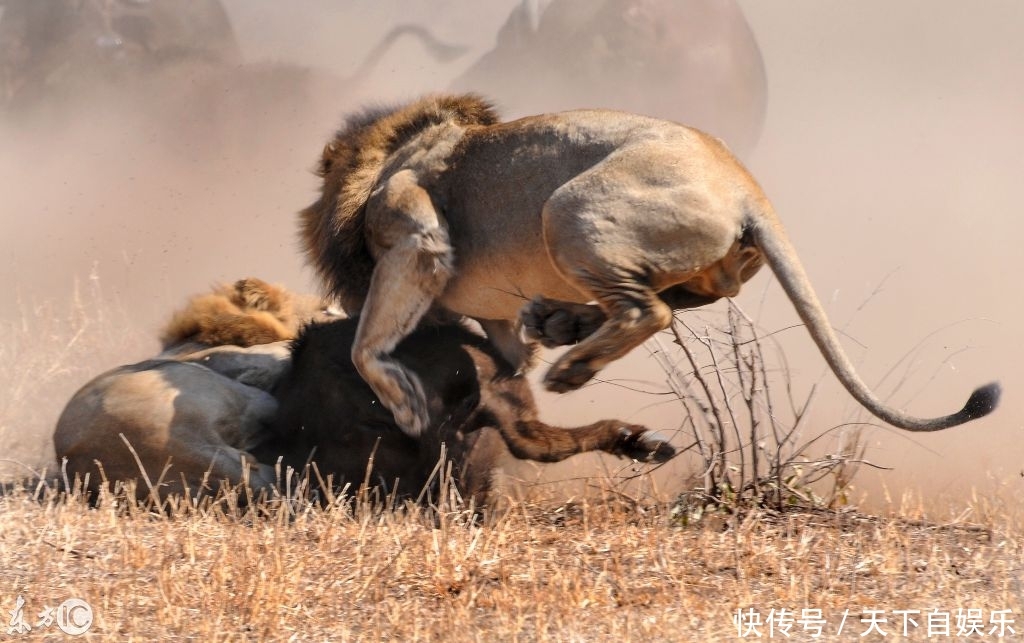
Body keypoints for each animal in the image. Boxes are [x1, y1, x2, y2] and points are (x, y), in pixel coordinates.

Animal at [299, 93, 1003, 440]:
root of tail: (744, 185)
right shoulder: (487, 317)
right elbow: (506, 357)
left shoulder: (418, 240)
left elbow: (366, 345)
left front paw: (407, 407)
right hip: (678, 254)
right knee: (694, 294)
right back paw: (563, 325)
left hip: (568, 208)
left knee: (652, 309)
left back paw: (573, 363)